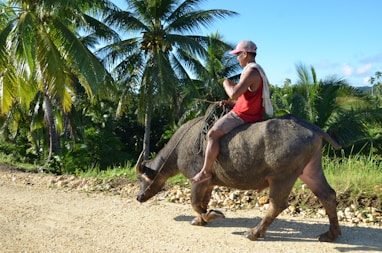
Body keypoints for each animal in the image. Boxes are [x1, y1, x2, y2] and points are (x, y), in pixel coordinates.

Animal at [136, 114, 342, 241]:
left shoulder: (199, 180)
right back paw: (330, 234)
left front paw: (211, 215)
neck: (180, 147)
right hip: (310, 170)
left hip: (282, 177)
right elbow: (203, 202)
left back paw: (254, 233)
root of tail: (311, 126)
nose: (138, 197)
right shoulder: (209, 183)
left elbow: (195, 203)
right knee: (328, 195)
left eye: (141, 179)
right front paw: (201, 219)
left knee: (277, 205)